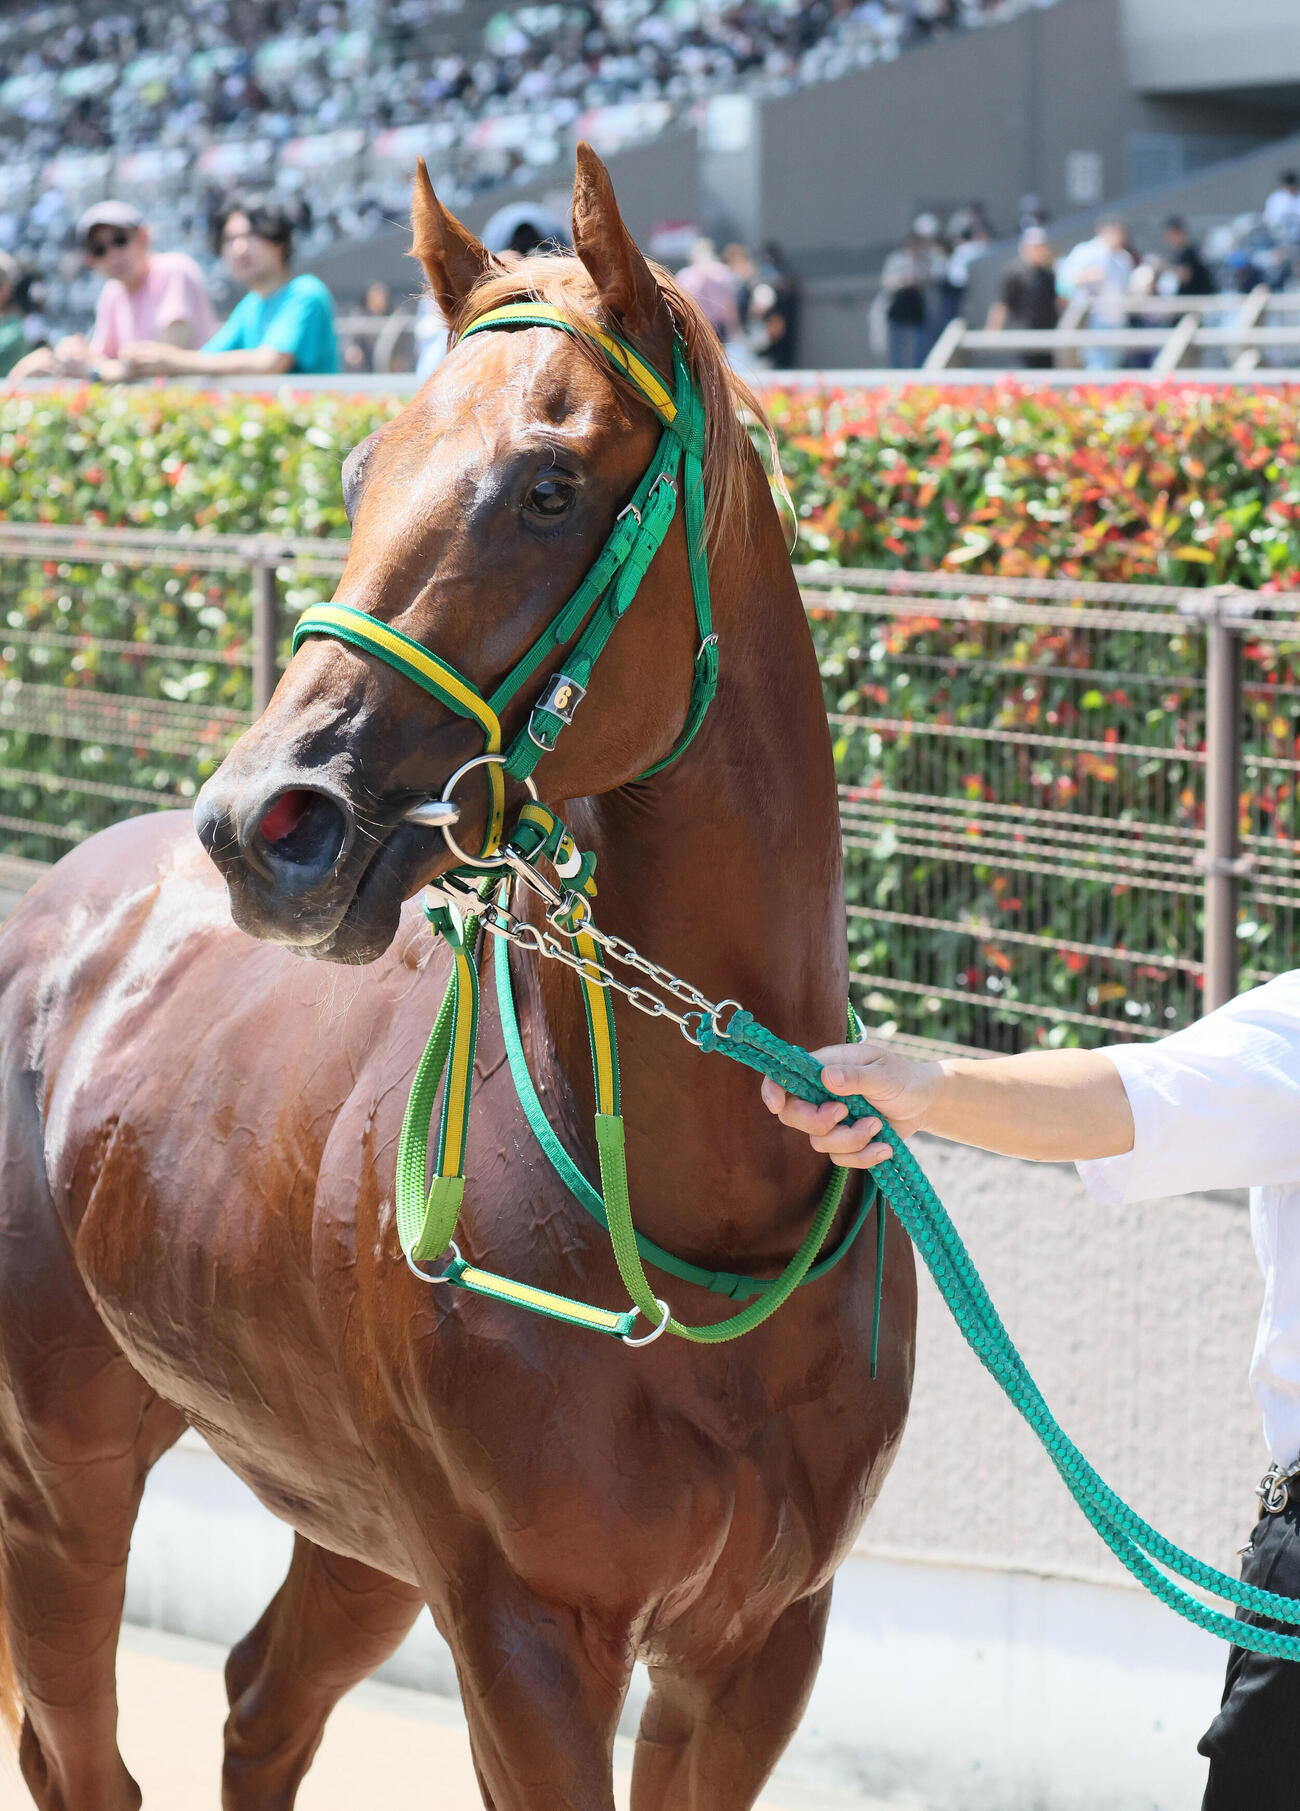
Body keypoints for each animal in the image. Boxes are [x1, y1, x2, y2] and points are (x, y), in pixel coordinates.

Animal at [0, 145, 916, 1810]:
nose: (263, 821)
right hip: (61, 1462)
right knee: (81, 1746)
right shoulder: (521, 1626)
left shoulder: (758, 1642)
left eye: (548, 485)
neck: (694, 1220)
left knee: (260, 1700)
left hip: (357, 1524)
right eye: (363, 474)